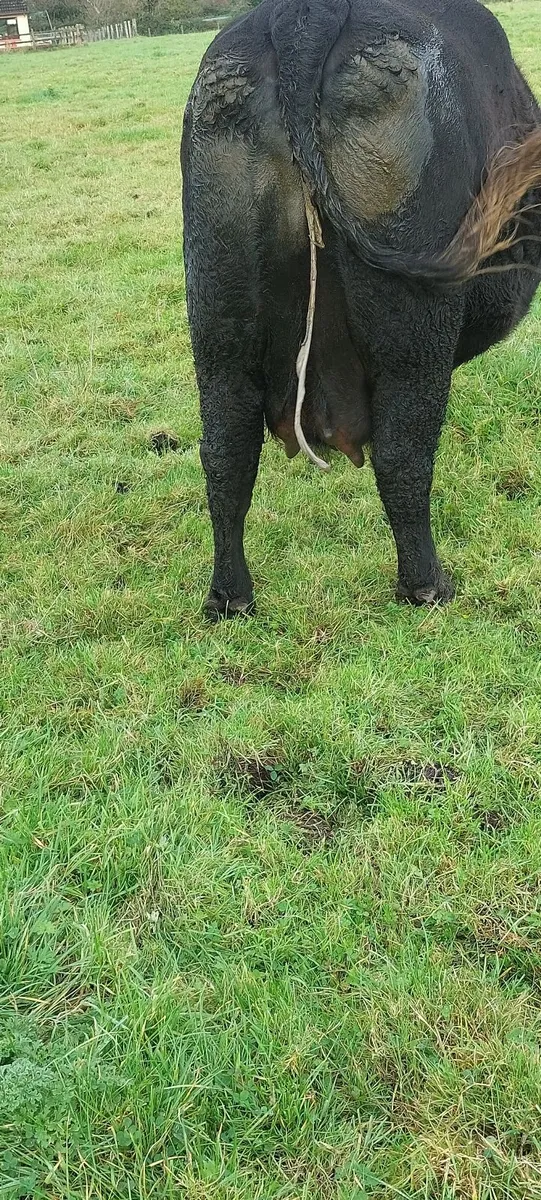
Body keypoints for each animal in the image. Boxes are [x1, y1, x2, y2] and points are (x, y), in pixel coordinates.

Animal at [181, 0, 541, 618]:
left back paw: (230, 597)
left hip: (217, 312)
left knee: (226, 451)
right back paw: (427, 586)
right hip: (413, 329)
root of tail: (304, 17)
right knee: (403, 455)